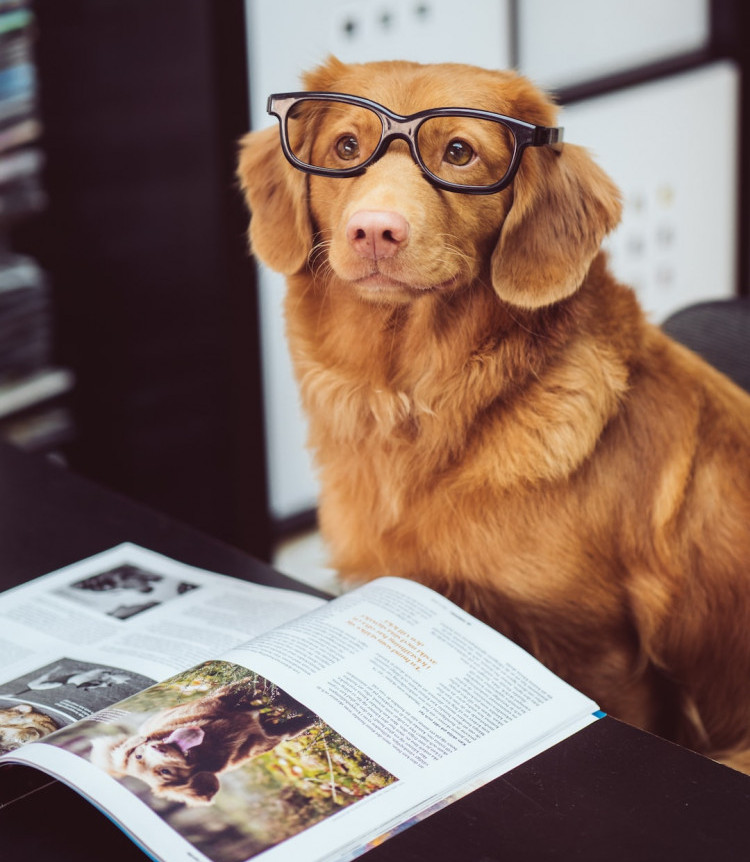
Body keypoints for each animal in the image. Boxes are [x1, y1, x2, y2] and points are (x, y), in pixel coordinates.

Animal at [91, 684, 318, 808]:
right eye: (165, 772)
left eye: (138, 755)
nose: (158, 749)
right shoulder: (259, 739)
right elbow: (283, 732)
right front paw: (308, 719)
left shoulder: (222, 701)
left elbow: (245, 688)